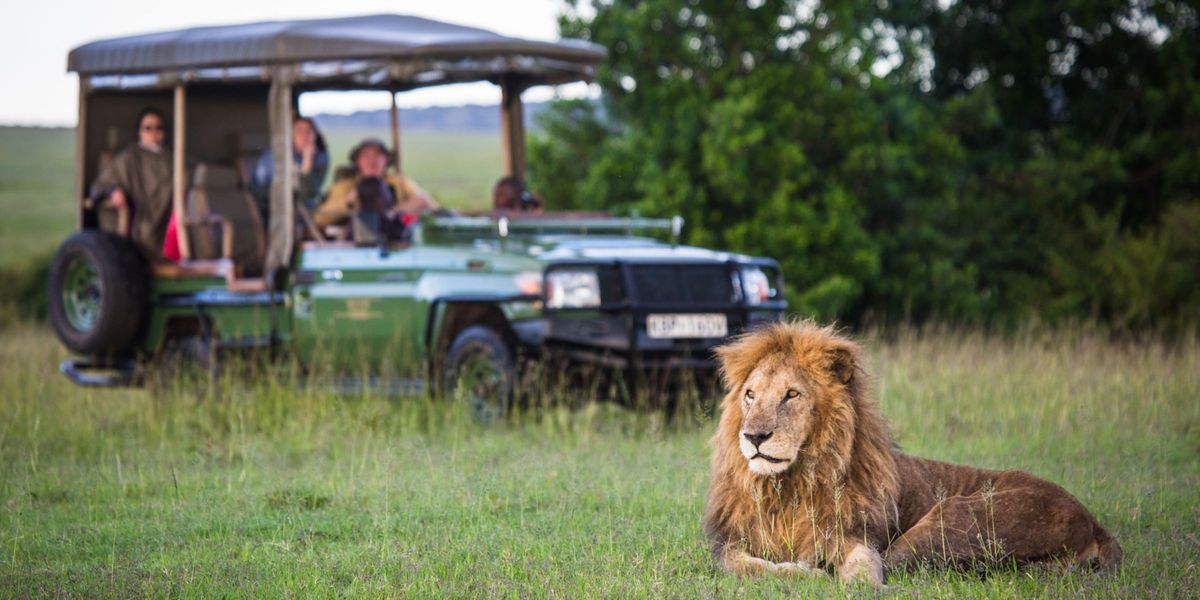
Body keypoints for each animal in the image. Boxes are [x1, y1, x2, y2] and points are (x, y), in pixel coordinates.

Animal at [700, 321, 1118, 583]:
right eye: (750, 395)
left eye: (791, 394)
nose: (755, 436)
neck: (791, 486)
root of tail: (1092, 521)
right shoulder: (730, 544)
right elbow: (745, 566)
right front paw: (804, 572)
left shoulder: (854, 534)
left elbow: (864, 564)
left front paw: (853, 581)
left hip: (955, 515)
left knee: (899, 562)